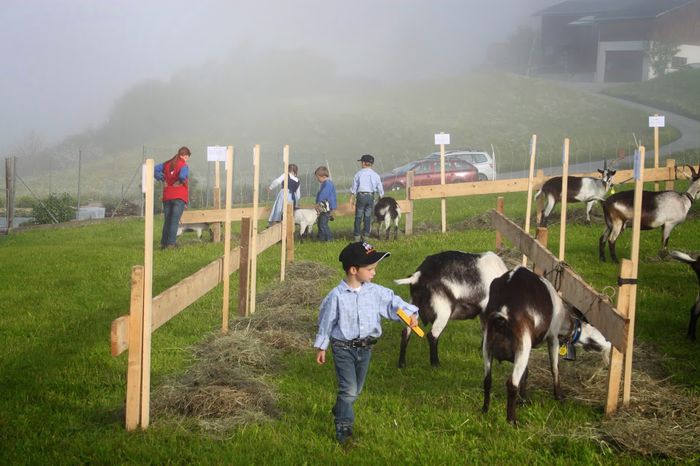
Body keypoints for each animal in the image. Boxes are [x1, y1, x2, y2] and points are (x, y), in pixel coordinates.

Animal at [482, 266, 612, 426]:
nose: (609, 344)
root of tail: (502, 313)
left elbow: (526, 372)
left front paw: (524, 399)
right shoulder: (553, 337)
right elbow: (554, 367)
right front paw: (559, 396)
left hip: (488, 345)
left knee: (487, 379)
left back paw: (485, 410)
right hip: (522, 345)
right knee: (511, 384)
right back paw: (512, 420)